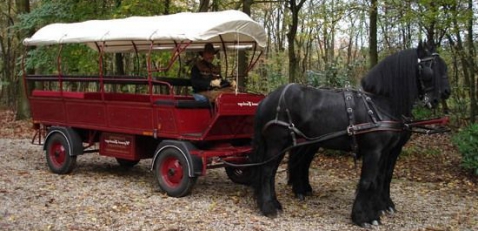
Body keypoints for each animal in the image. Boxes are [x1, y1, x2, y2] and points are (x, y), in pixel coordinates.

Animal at [250, 41, 452, 226]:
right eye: (432, 67)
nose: (445, 93)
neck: (380, 103)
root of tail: (268, 98)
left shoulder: (389, 151)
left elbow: (382, 178)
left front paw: (380, 207)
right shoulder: (374, 151)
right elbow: (368, 181)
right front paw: (364, 217)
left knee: (287, 167)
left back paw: (288, 196)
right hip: (278, 143)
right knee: (267, 171)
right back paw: (269, 207)